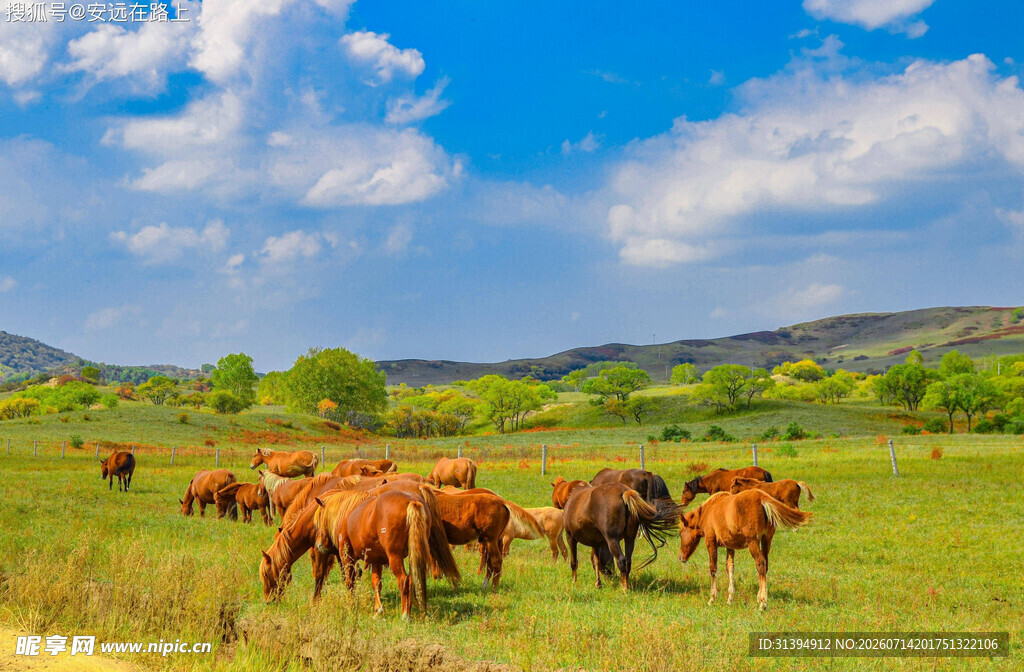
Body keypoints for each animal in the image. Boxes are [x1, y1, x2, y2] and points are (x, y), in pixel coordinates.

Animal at [313, 485, 460, 617]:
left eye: (320, 520)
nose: (318, 545)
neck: (346, 515)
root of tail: (411, 501)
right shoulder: (376, 559)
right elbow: (376, 583)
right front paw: (378, 609)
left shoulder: (347, 557)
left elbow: (350, 582)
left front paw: (351, 605)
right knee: (413, 579)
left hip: (394, 557)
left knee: (404, 580)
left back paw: (405, 615)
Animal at [679, 490, 811, 610]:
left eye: (680, 533)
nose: (681, 558)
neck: (708, 510)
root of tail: (762, 497)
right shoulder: (730, 546)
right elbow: (730, 567)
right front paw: (730, 599)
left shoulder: (710, 541)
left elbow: (713, 568)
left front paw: (712, 599)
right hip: (766, 539)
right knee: (765, 565)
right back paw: (760, 597)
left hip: (753, 542)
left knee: (760, 563)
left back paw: (763, 603)